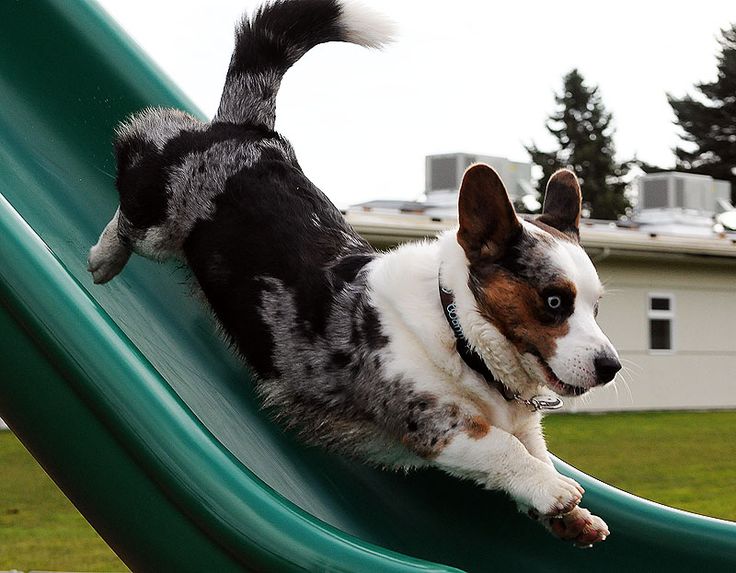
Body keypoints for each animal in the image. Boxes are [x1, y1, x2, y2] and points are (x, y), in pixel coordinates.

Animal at [90, 0, 620, 544]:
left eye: (597, 307)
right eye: (553, 300)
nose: (612, 368)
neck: (460, 332)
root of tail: (247, 130)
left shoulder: (521, 425)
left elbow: (535, 453)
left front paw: (574, 519)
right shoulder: (437, 426)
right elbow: (503, 449)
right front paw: (557, 491)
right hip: (158, 223)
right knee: (136, 160)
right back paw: (101, 258)